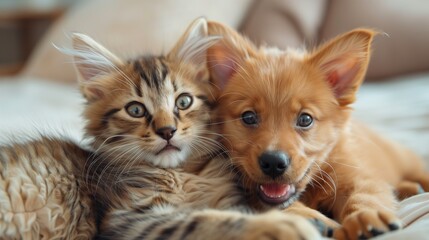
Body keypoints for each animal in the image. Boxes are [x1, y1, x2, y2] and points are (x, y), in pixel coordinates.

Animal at [68, 18, 320, 240]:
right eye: (136, 110)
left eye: (183, 101)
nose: (167, 131)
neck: (181, 175)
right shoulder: (127, 219)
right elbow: (201, 220)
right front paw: (283, 225)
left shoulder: (229, 197)